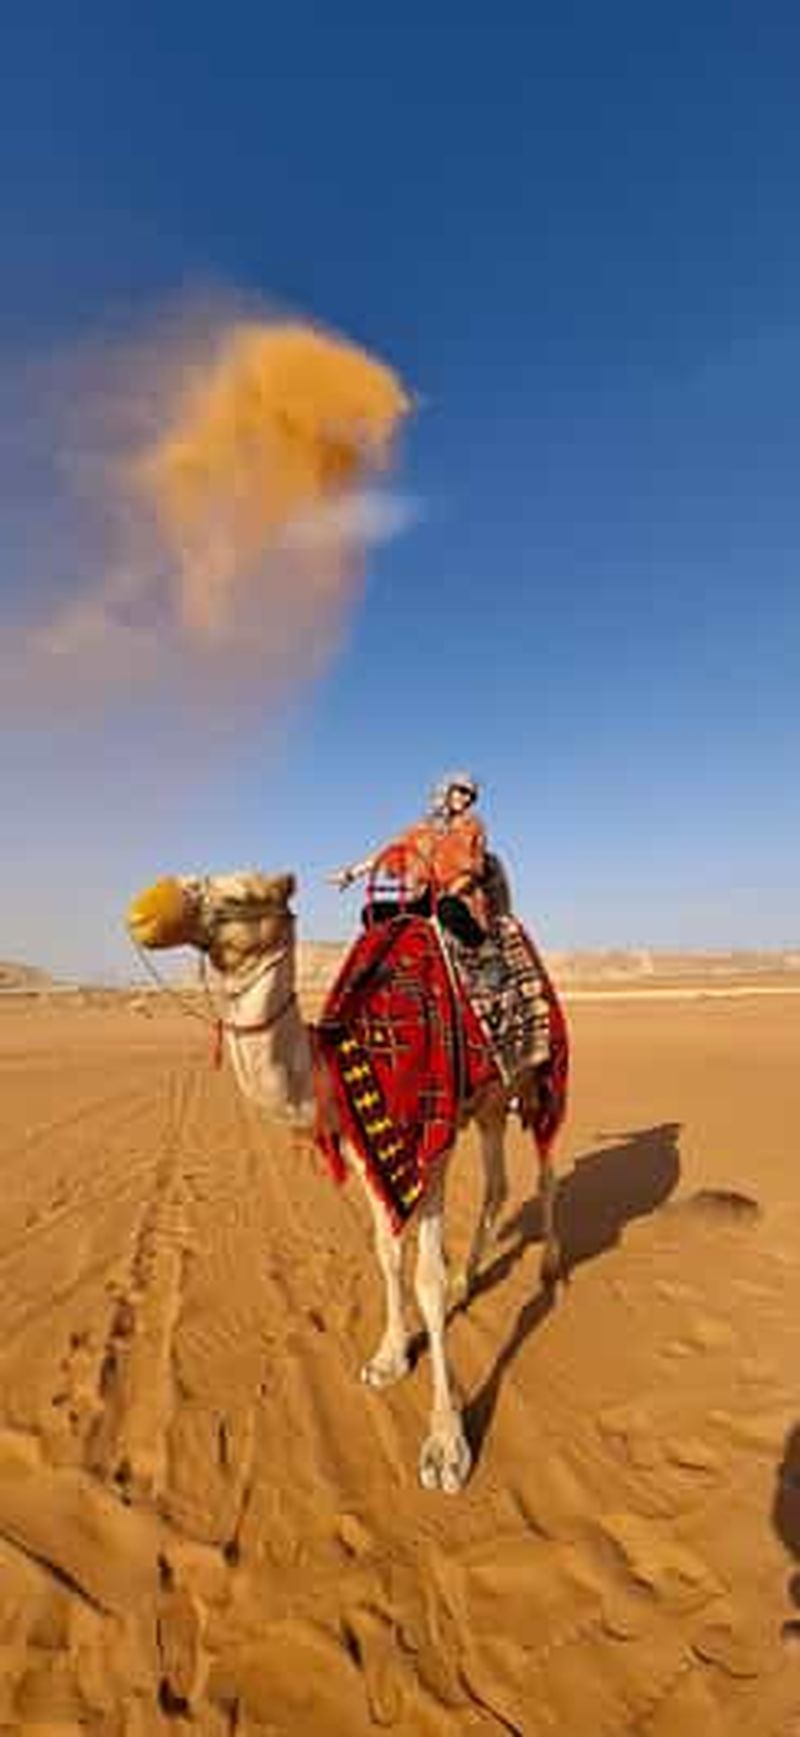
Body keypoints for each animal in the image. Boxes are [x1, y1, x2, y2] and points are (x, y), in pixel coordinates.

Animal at [127, 869, 562, 1493]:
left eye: (242, 896)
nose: (143, 912)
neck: (334, 1062)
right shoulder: (366, 1153)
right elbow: (387, 1254)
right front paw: (388, 1358)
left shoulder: (428, 1150)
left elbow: (425, 1280)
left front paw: (446, 1446)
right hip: (487, 1102)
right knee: (499, 1184)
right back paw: (468, 1280)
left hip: (537, 1077)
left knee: (546, 1166)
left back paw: (549, 1265)